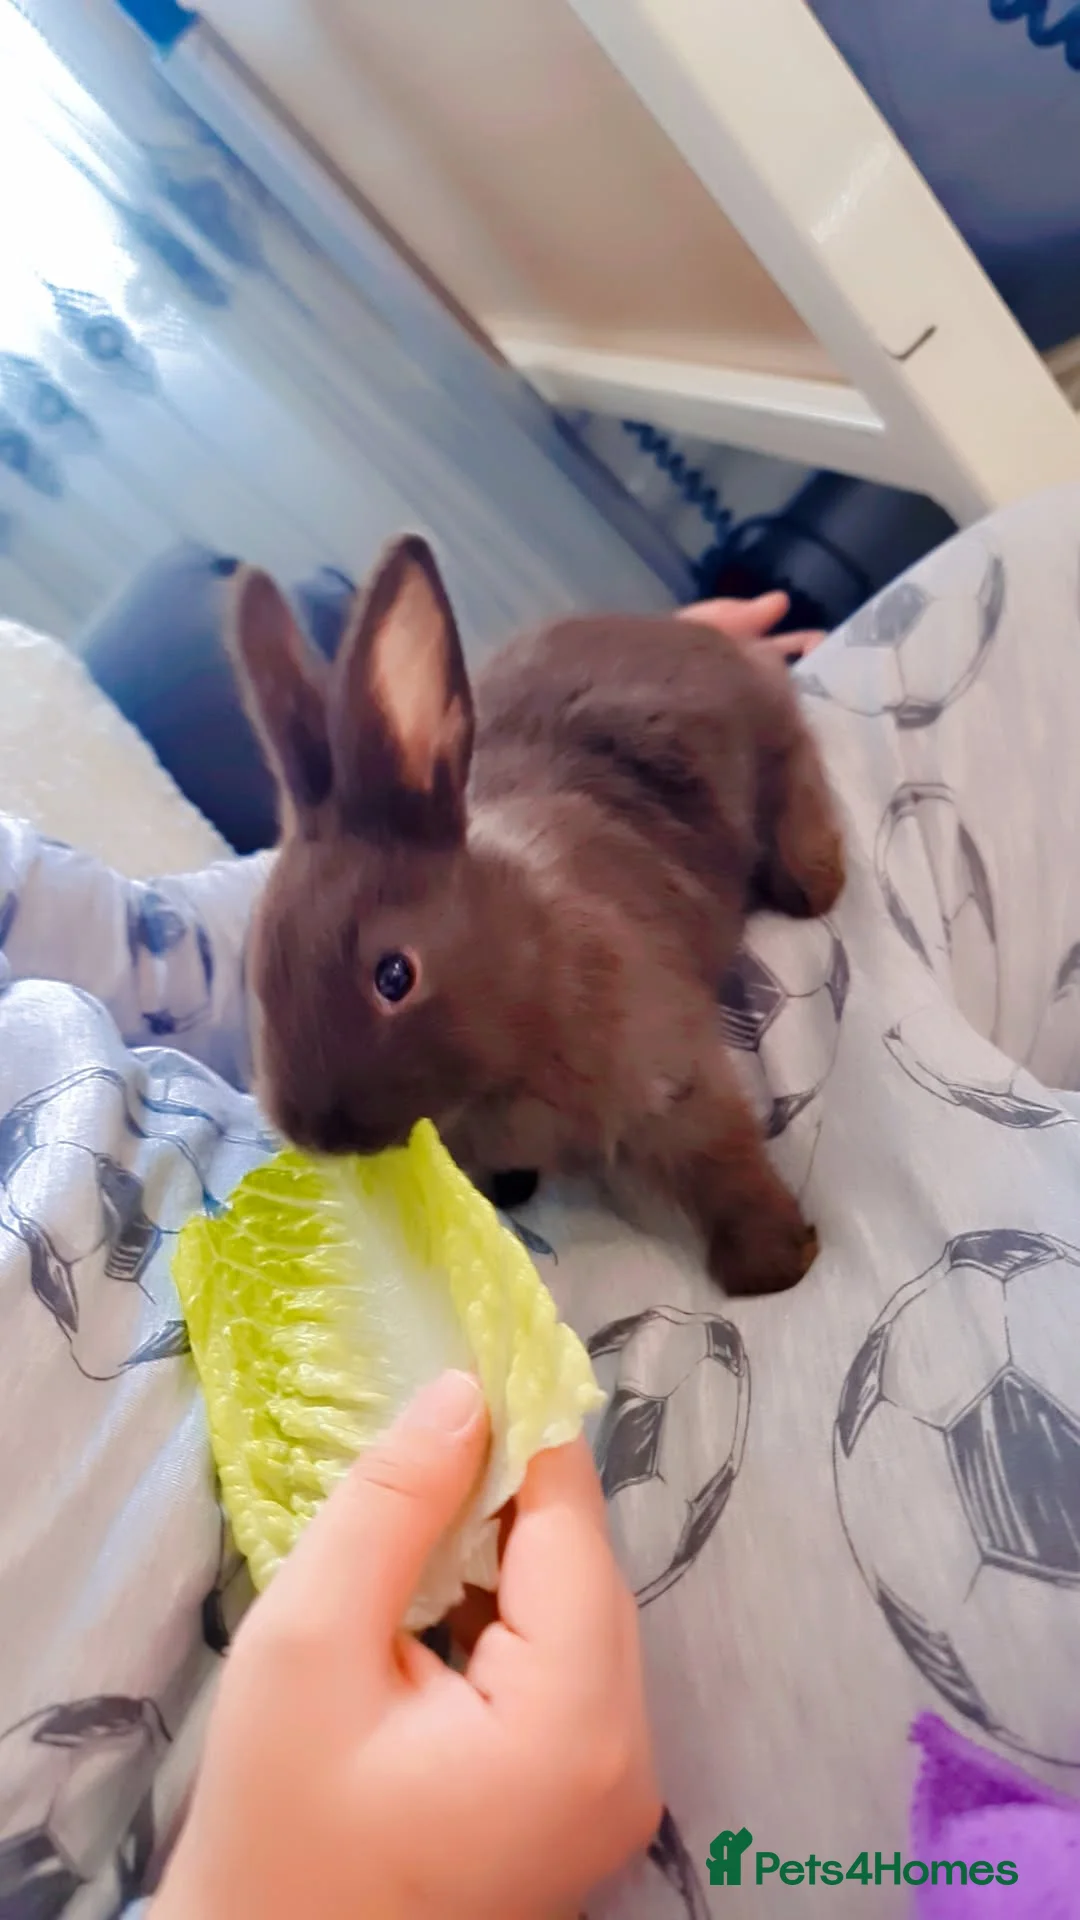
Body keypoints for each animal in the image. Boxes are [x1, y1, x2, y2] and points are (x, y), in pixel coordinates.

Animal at [227, 534, 844, 1296]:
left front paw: (773, 1266)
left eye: (394, 976)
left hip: (769, 751)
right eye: (255, 971)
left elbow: (719, 1160)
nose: (320, 1134)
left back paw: (819, 880)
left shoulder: (672, 1079)